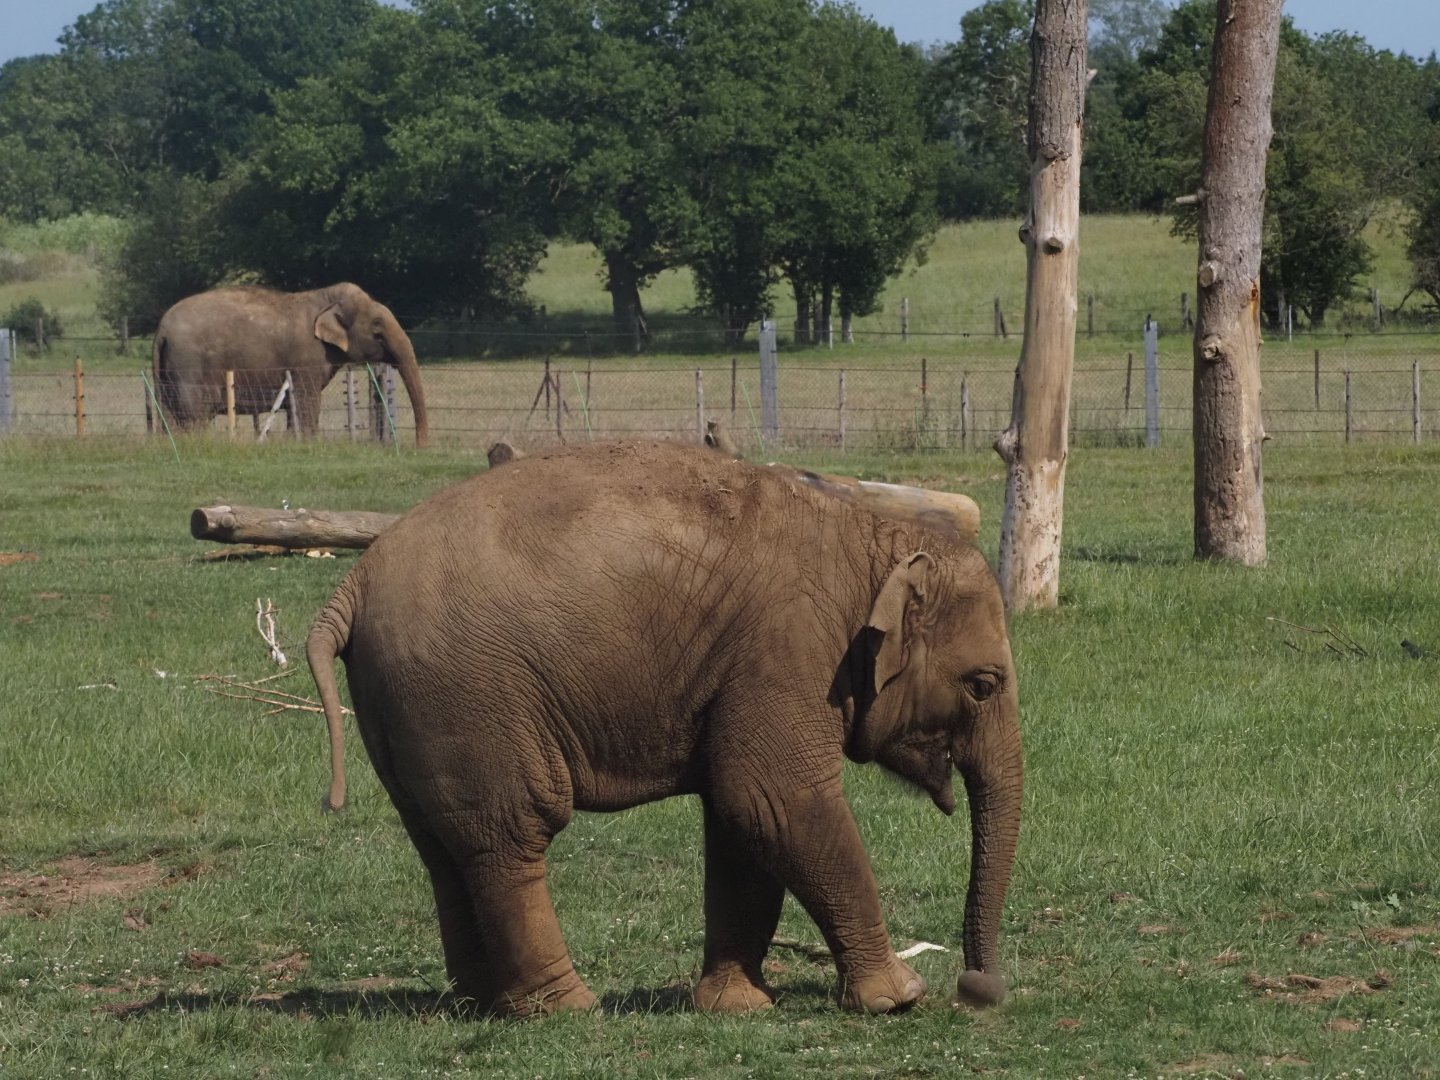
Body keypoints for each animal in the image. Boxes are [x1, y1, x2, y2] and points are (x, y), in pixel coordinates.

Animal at [150, 283, 429, 447]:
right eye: (377, 328)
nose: (419, 447)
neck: (325, 298)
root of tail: (162, 328)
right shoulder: (307, 358)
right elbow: (307, 400)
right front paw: (310, 444)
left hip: (167, 371)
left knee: (169, 414)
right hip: (190, 367)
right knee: (195, 415)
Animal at [307, 440, 1022, 1017]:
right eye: (982, 684)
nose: (979, 989)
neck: (874, 534)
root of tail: (353, 584)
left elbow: (740, 819)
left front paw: (737, 1007)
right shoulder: (784, 654)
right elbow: (774, 800)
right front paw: (898, 998)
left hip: (408, 710)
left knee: (445, 847)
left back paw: (481, 1004)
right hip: (470, 697)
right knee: (510, 838)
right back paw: (568, 1011)